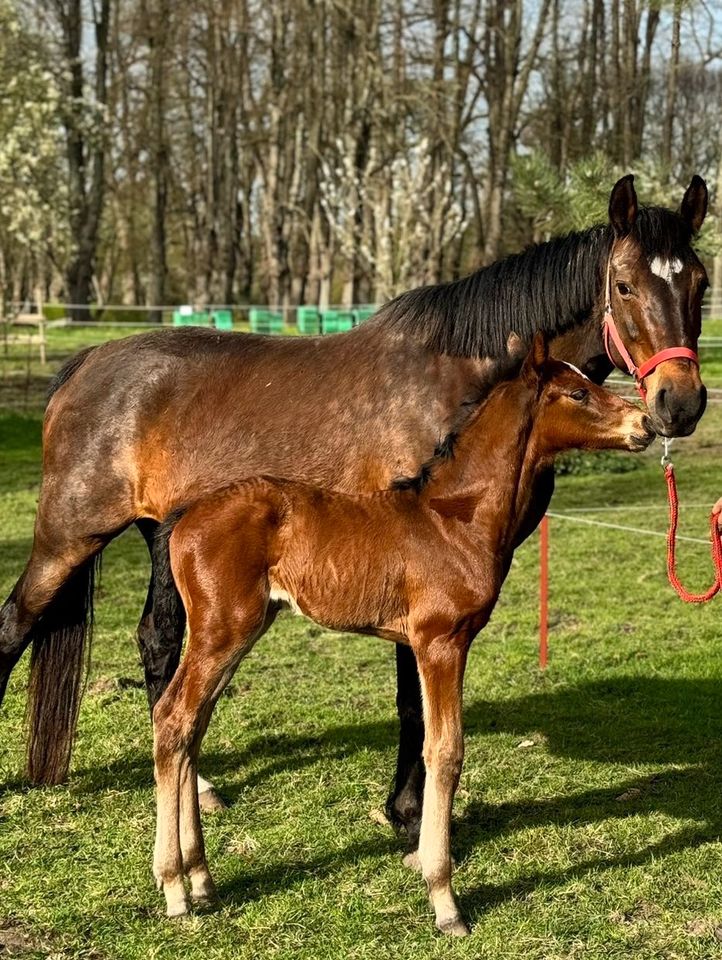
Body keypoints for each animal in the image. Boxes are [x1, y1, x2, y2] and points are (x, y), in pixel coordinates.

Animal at [150, 336, 652, 928]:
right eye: (577, 392)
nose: (646, 422)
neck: (453, 518)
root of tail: (184, 515)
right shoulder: (440, 643)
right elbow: (446, 751)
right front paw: (444, 899)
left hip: (238, 630)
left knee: (193, 727)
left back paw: (202, 878)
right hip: (222, 629)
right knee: (173, 719)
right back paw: (175, 888)